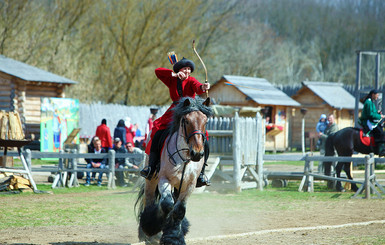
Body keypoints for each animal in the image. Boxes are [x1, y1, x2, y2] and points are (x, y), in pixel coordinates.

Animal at [135, 96, 213, 244]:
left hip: (178, 185)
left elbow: (179, 210)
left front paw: (174, 237)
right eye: (186, 121)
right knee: (150, 200)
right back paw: (148, 231)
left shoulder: (189, 185)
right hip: (151, 180)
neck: (185, 157)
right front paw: (154, 228)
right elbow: (167, 204)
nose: (197, 153)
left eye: (205, 121)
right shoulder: (164, 179)